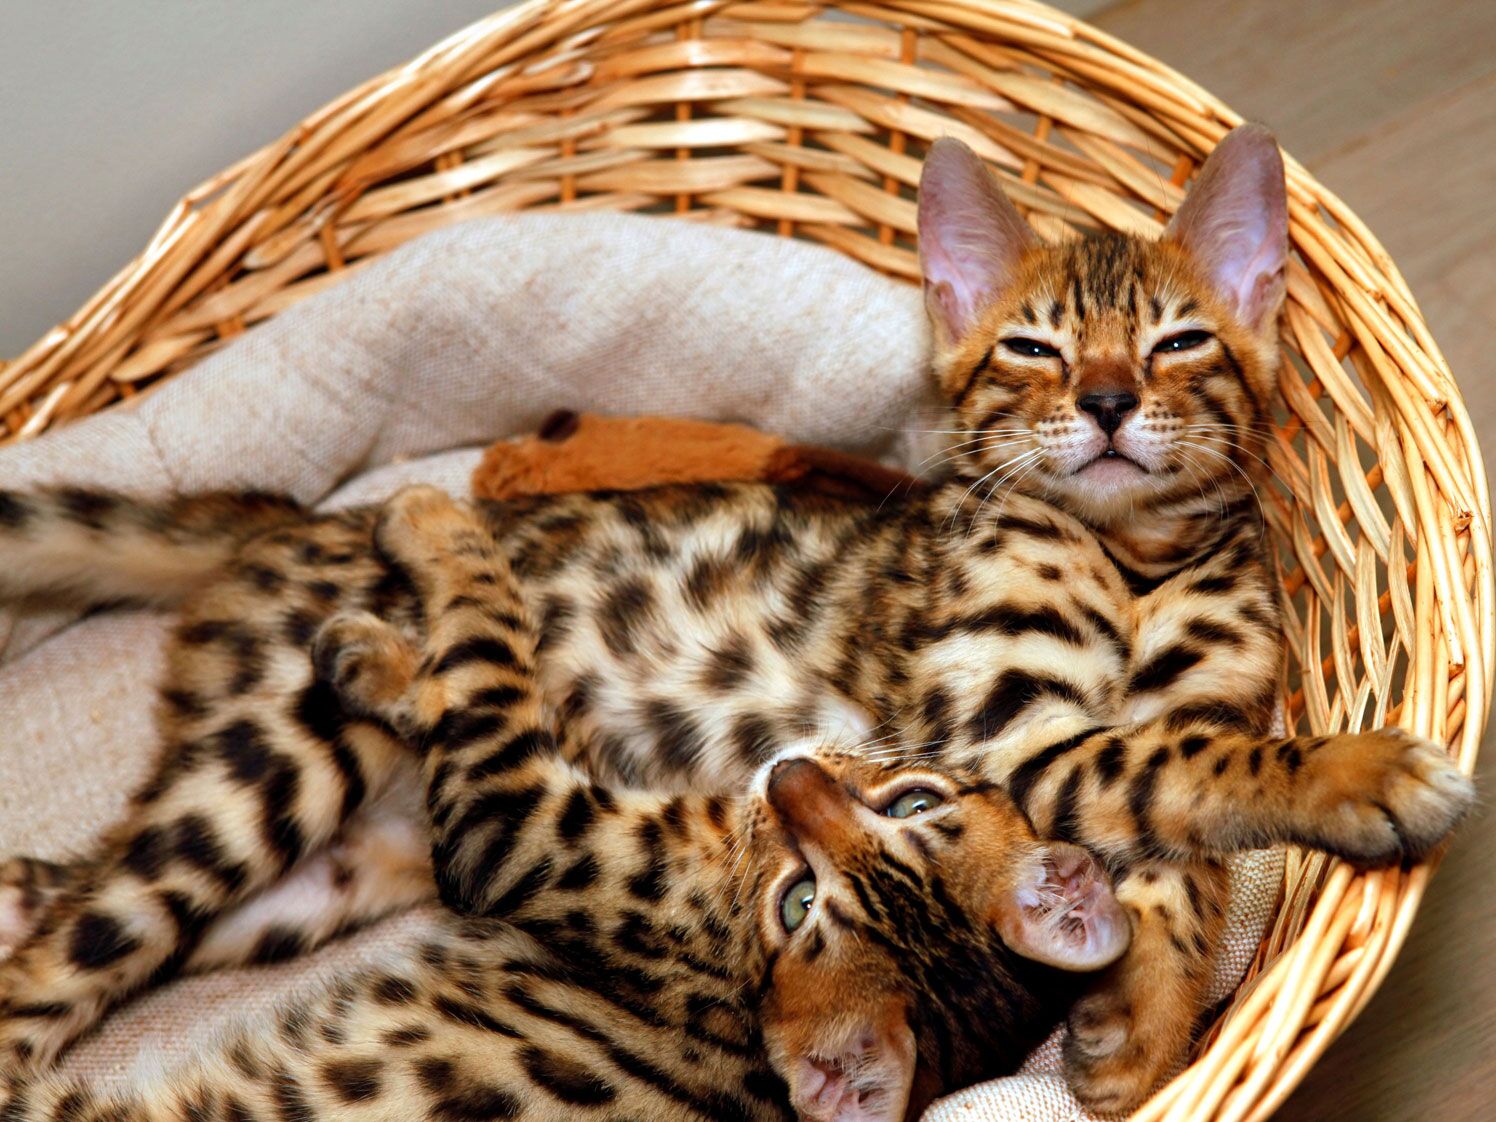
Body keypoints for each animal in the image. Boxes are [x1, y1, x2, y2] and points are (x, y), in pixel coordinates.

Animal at [0, 124, 1472, 1119]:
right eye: (1033, 351)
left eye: (1176, 343)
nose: (1108, 404)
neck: (1133, 554)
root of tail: (293, 522)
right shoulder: (1007, 730)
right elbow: (1194, 772)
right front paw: (1361, 774)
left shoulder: (1155, 710)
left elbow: (1187, 861)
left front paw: (1142, 1035)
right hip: (268, 779)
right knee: (57, 962)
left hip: (322, 879)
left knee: (66, 891)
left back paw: (380, 664)